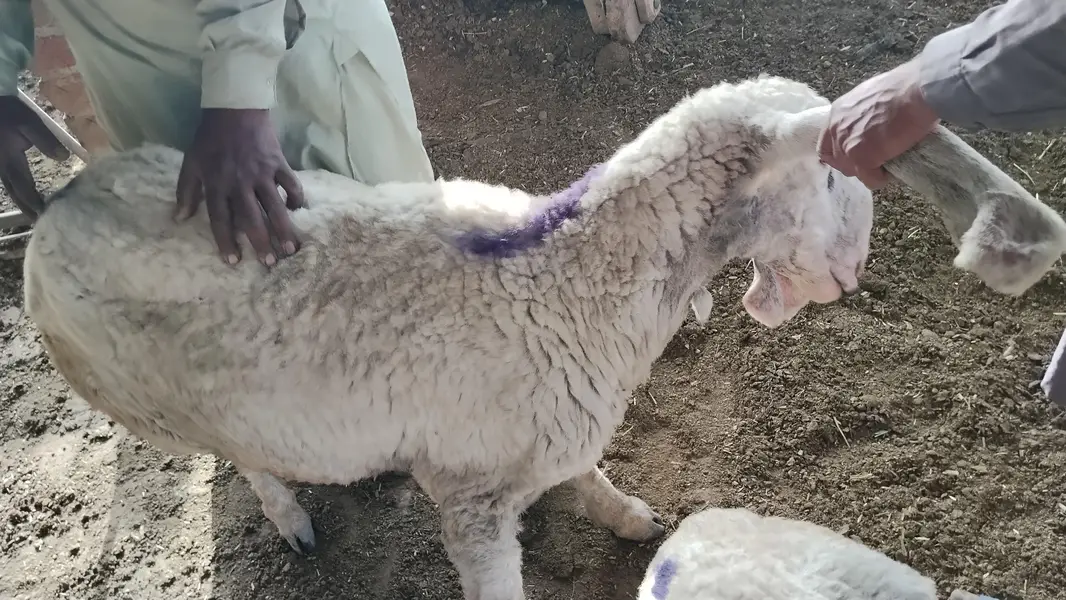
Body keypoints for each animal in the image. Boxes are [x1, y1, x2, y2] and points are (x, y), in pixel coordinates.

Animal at [20, 74, 1066, 600]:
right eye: (843, 174)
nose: (856, 272)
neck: (570, 273)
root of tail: (65, 197)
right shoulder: (470, 499)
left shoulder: (551, 433)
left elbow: (590, 477)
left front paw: (632, 517)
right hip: (149, 401)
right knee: (233, 458)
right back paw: (289, 515)